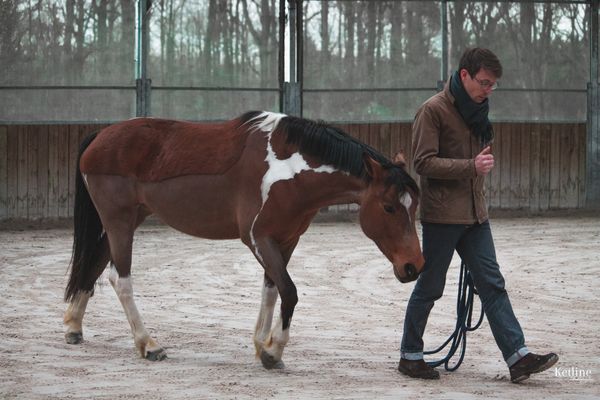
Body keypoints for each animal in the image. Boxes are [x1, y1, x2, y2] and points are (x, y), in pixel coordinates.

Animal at [63, 110, 424, 368]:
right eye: (389, 207)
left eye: (414, 205)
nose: (414, 266)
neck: (288, 168)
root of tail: (102, 135)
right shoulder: (258, 239)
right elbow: (289, 292)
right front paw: (273, 352)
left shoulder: (285, 240)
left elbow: (271, 291)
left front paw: (261, 343)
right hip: (120, 220)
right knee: (119, 278)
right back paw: (149, 344)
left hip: (126, 219)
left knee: (95, 262)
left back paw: (74, 326)